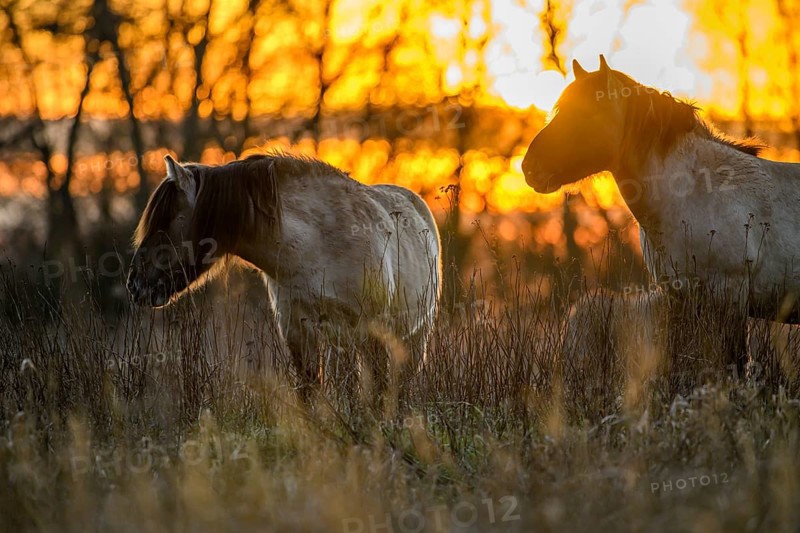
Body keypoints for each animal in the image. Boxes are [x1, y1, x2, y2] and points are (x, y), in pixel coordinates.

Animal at [127, 153, 441, 402]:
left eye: (166, 222)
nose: (134, 283)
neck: (316, 246)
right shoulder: (297, 330)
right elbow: (310, 393)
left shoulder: (371, 329)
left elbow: (376, 394)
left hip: (415, 334)